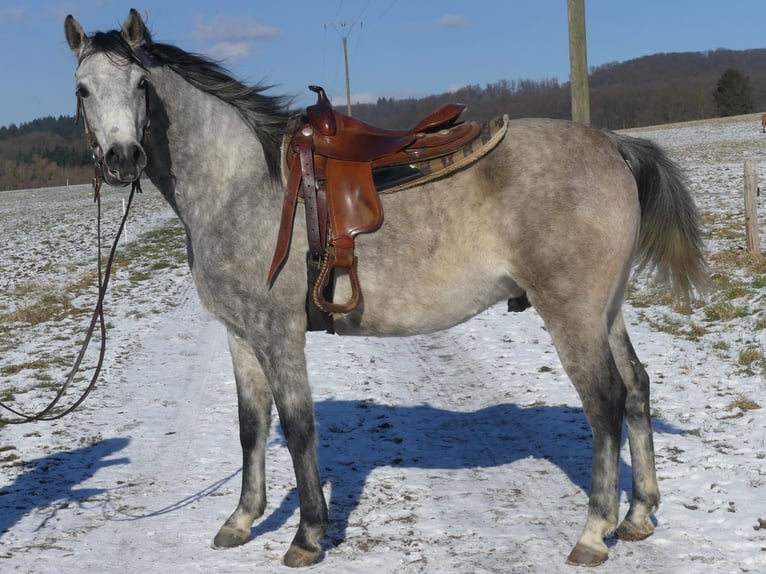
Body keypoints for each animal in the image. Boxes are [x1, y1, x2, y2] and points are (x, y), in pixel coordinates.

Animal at [66, 9, 708, 572]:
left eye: (141, 84)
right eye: (82, 90)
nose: (122, 159)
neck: (242, 183)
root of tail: (613, 146)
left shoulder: (279, 334)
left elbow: (297, 425)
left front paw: (307, 535)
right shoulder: (241, 335)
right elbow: (252, 426)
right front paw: (242, 520)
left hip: (571, 313)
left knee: (604, 402)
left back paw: (594, 533)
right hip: (606, 311)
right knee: (636, 389)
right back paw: (638, 514)